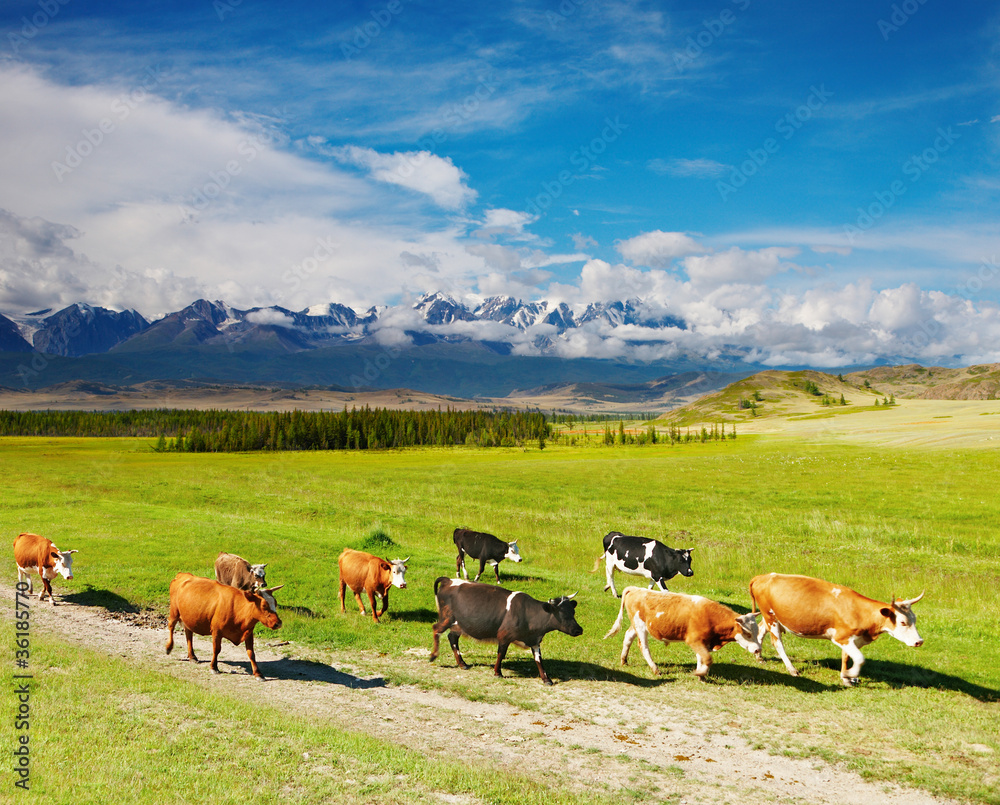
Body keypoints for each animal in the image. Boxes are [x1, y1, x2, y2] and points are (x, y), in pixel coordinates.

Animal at [604, 584, 760, 680]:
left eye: (757, 632)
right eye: (748, 633)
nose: (758, 650)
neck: (710, 617)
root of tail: (636, 589)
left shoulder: (703, 642)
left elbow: (701, 658)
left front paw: (701, 675)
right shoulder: (694, 640)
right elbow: (707, 658)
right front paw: (700, 672)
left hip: (636, 626)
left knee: (628, 636)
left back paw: (624, 660)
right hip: (641, 627)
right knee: (643, 647)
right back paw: (655, 669)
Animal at [748, 572, 924, 684]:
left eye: (914, 619)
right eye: (902, 622)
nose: (919, 641)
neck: (859, 611)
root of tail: (763, 577)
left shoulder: (852, 639)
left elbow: (846, 657)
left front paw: (846, 677)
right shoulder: (841, 637)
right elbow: (860, 658)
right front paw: (850, 674)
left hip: (772, 617)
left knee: (761, 631)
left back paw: (759, 657)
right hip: (771, 618)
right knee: (777, 642)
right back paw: (792, 669)